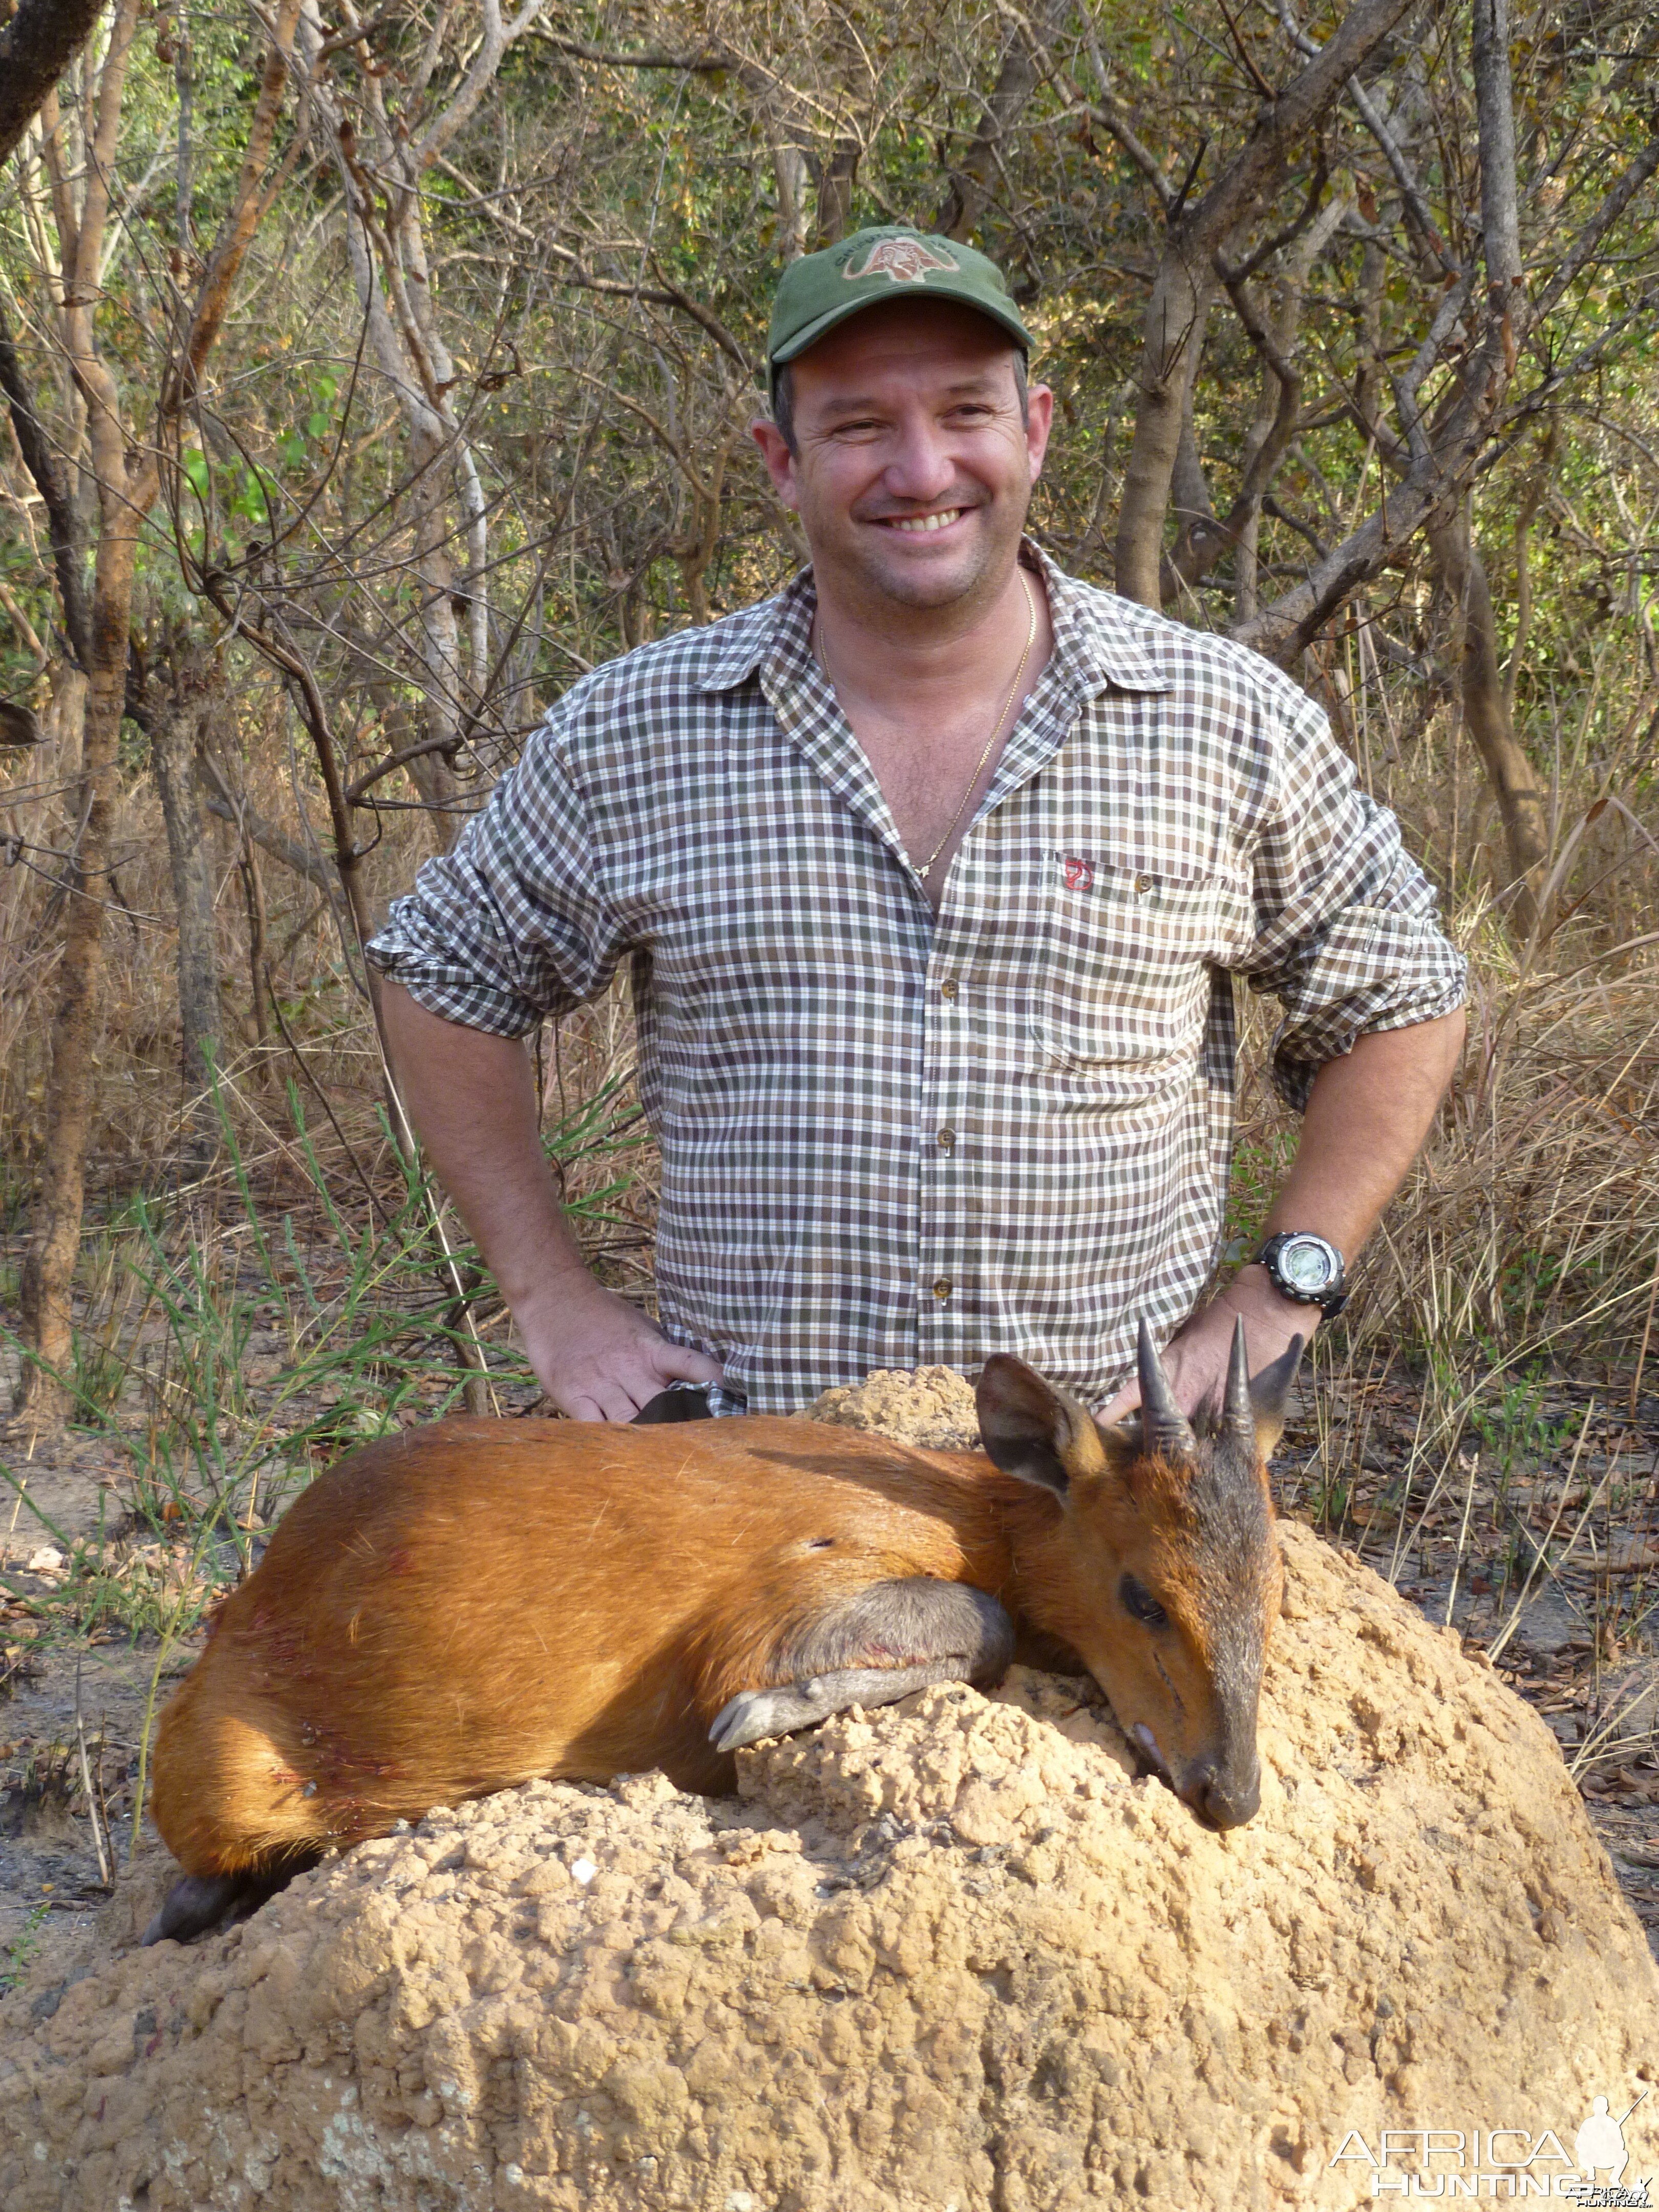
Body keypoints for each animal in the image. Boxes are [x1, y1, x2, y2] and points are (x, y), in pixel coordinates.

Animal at [146, 1318, 1301, 1946]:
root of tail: (254, 1597)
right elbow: (985, 1622)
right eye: (1142, 1595)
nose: (1232, 1794)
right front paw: (762, 1717)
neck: (972, 1513)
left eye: (1276, 1585)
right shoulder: (773, 1611)